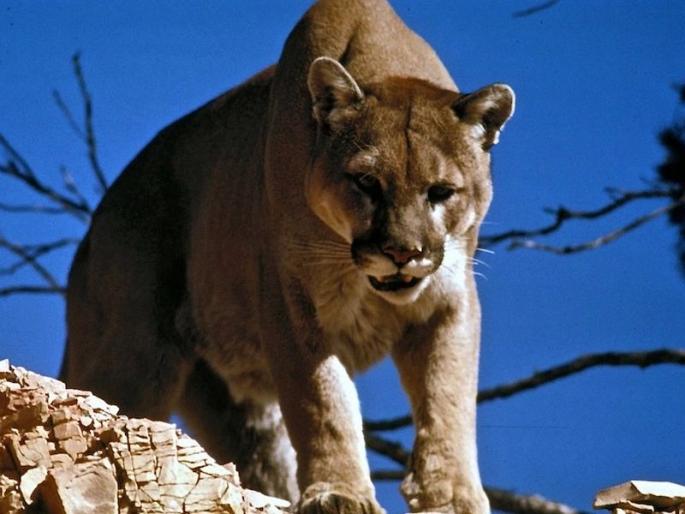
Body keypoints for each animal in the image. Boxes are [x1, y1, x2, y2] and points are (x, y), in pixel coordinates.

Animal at [60, 1, 515, 512]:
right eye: (366, 183)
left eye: (441, 192)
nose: (402, 252)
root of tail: (94, 226)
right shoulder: (292, 302)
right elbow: (323, 401)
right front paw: (339, 492)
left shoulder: (449, 301)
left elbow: (448, 399)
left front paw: (451, 495)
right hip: (135, 357)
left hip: (235, 408)